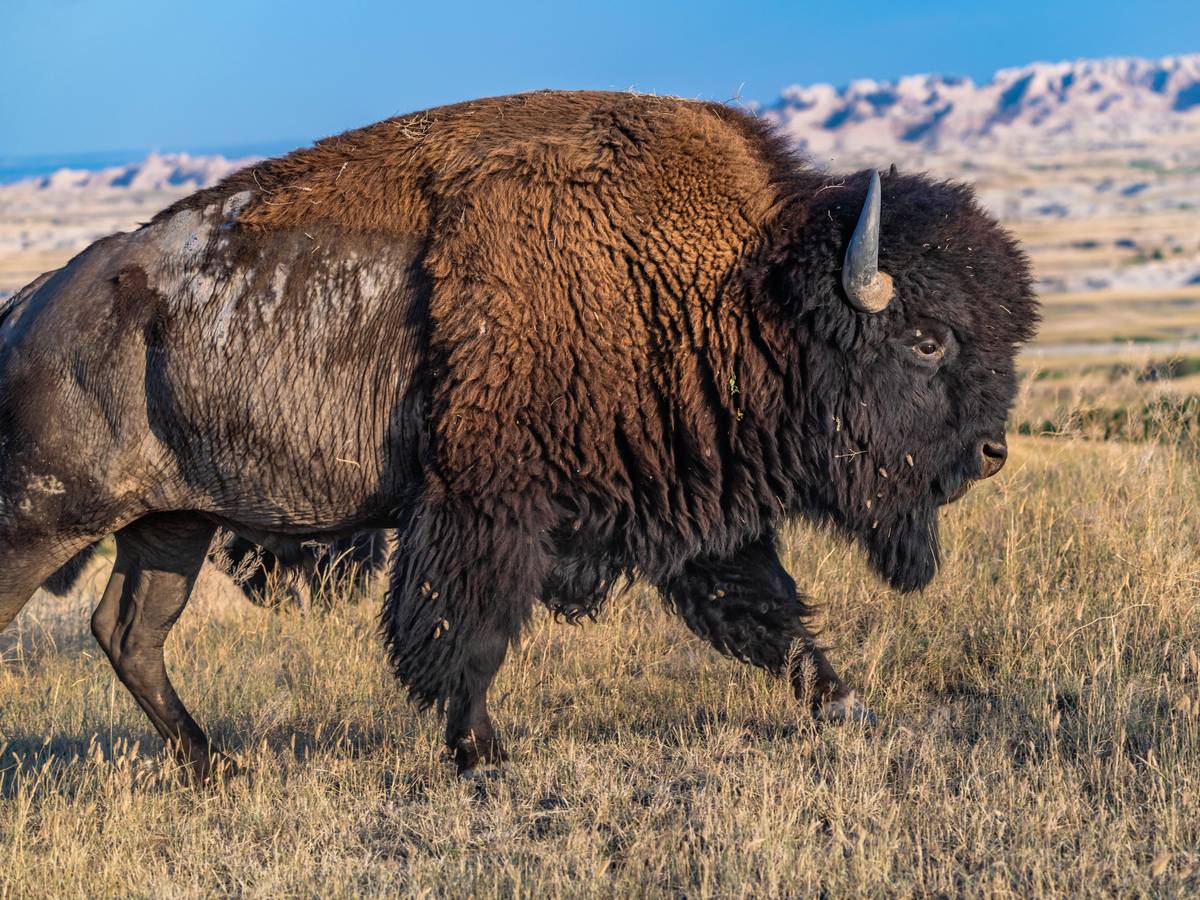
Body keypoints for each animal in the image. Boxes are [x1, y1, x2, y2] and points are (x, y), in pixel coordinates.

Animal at [0, 91, 1037, 779]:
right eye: (928, 338)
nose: (992, 454)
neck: (734, 287)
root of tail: (35, 304)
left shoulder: (692, 508)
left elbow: (765, 612)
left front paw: (847, 706)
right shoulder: (485, 508)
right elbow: (464, 633)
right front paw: (484, 755)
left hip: (170, 521)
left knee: (131, 632)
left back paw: (216, 765)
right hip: (46, 518)